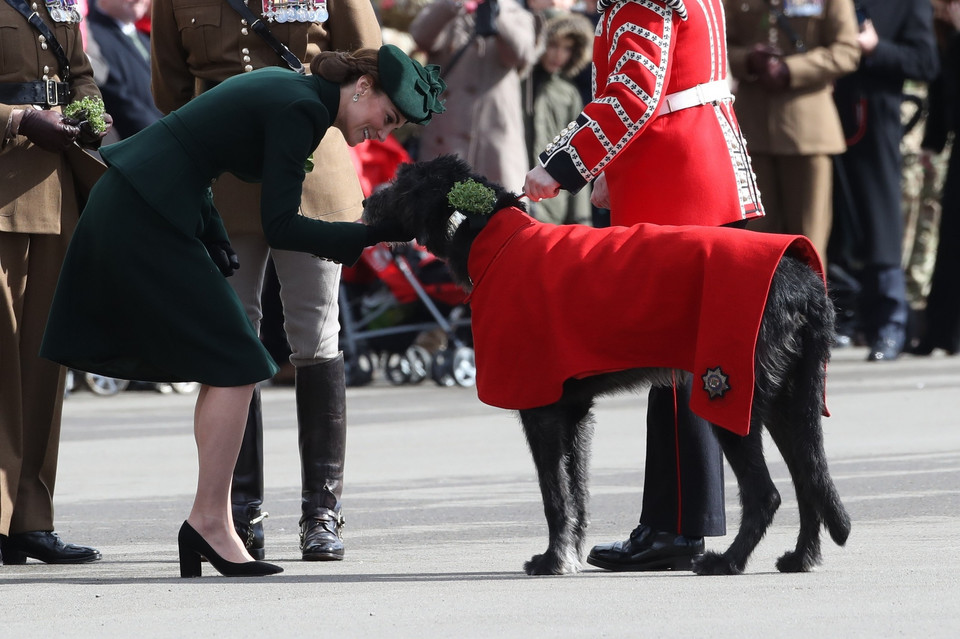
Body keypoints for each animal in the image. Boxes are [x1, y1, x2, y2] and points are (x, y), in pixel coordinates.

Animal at [364, 156, 852, 580]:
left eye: (404, 184)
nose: (366, 202)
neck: (489, 234)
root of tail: (805, 283)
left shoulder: (540, 409)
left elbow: (554, 494)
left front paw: (552, 559)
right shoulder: (574, 411)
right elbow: (576, 491)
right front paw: (569, 553)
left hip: (731, 395)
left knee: (766, 493)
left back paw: (728, 561)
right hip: (788, 401)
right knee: (809, 478)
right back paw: (800, 557)